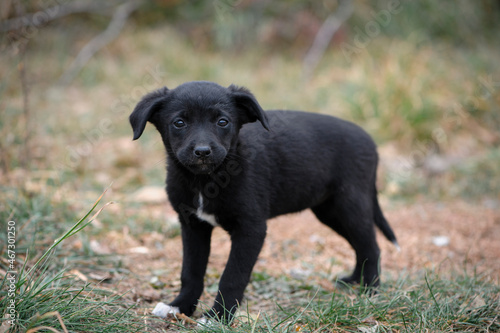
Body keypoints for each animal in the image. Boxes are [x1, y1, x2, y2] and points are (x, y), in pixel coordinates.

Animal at [129, 80, 398, 322]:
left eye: (223, 122)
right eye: (179, 123)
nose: (203, 151)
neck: (206, 180)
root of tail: (370, 142)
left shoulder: (251, 229)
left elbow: (232, 277)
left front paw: (218, 317)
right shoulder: (193, 226)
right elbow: (191, 272)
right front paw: (179, 306)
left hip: (350, 204)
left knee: (371, 246)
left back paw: (369, 290)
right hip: (329, 211)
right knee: (360, 245)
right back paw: (354, 281)